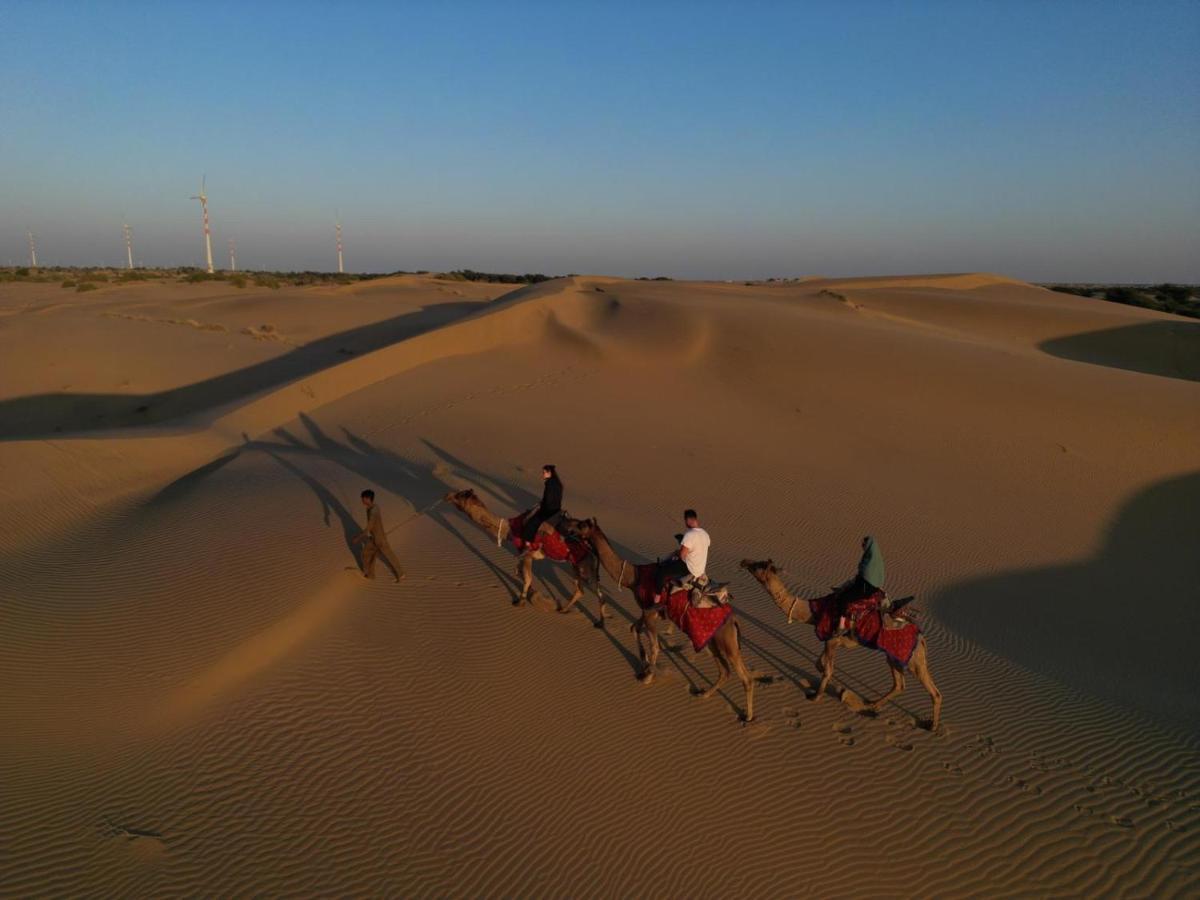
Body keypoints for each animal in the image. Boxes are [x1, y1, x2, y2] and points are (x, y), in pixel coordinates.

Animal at [444, 489, 604, 619]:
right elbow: (521, 573)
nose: (447, 495)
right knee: (580, 590)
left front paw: (520, 601)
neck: (510, 529)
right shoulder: (522, 553)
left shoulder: (528, 553)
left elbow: (527, 578)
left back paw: (599, 622)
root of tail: (593, 550)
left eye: (459, 495)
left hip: (583, 566)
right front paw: (533, 595)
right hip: (576, 565)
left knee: (596, 591)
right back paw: (563, 609)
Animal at [559, 518, 748, 724]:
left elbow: (655, 645)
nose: (567, 528)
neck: (633, 577)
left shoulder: (651, 612)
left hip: (727, 641)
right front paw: (643, 663)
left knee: (744, 675)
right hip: (712, 640)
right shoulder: (647, 610)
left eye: (581, 525)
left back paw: (747, 716)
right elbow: (634, 628)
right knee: (725, 671)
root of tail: (734, 620)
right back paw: (703, 694)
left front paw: (648, 675)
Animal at [734, 564, 940, 734]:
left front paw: (815, 697)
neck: (813, 611)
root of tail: (921, 637)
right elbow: (820, 662)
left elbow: (828, 669)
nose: (744, 562)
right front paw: (819, 677)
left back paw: (932, 726)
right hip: (893, 655)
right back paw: (872, 704)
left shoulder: (833, 639)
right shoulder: (834, 640)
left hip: (913, 659)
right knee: (899, 684)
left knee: (933, 691)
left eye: (759, 567)